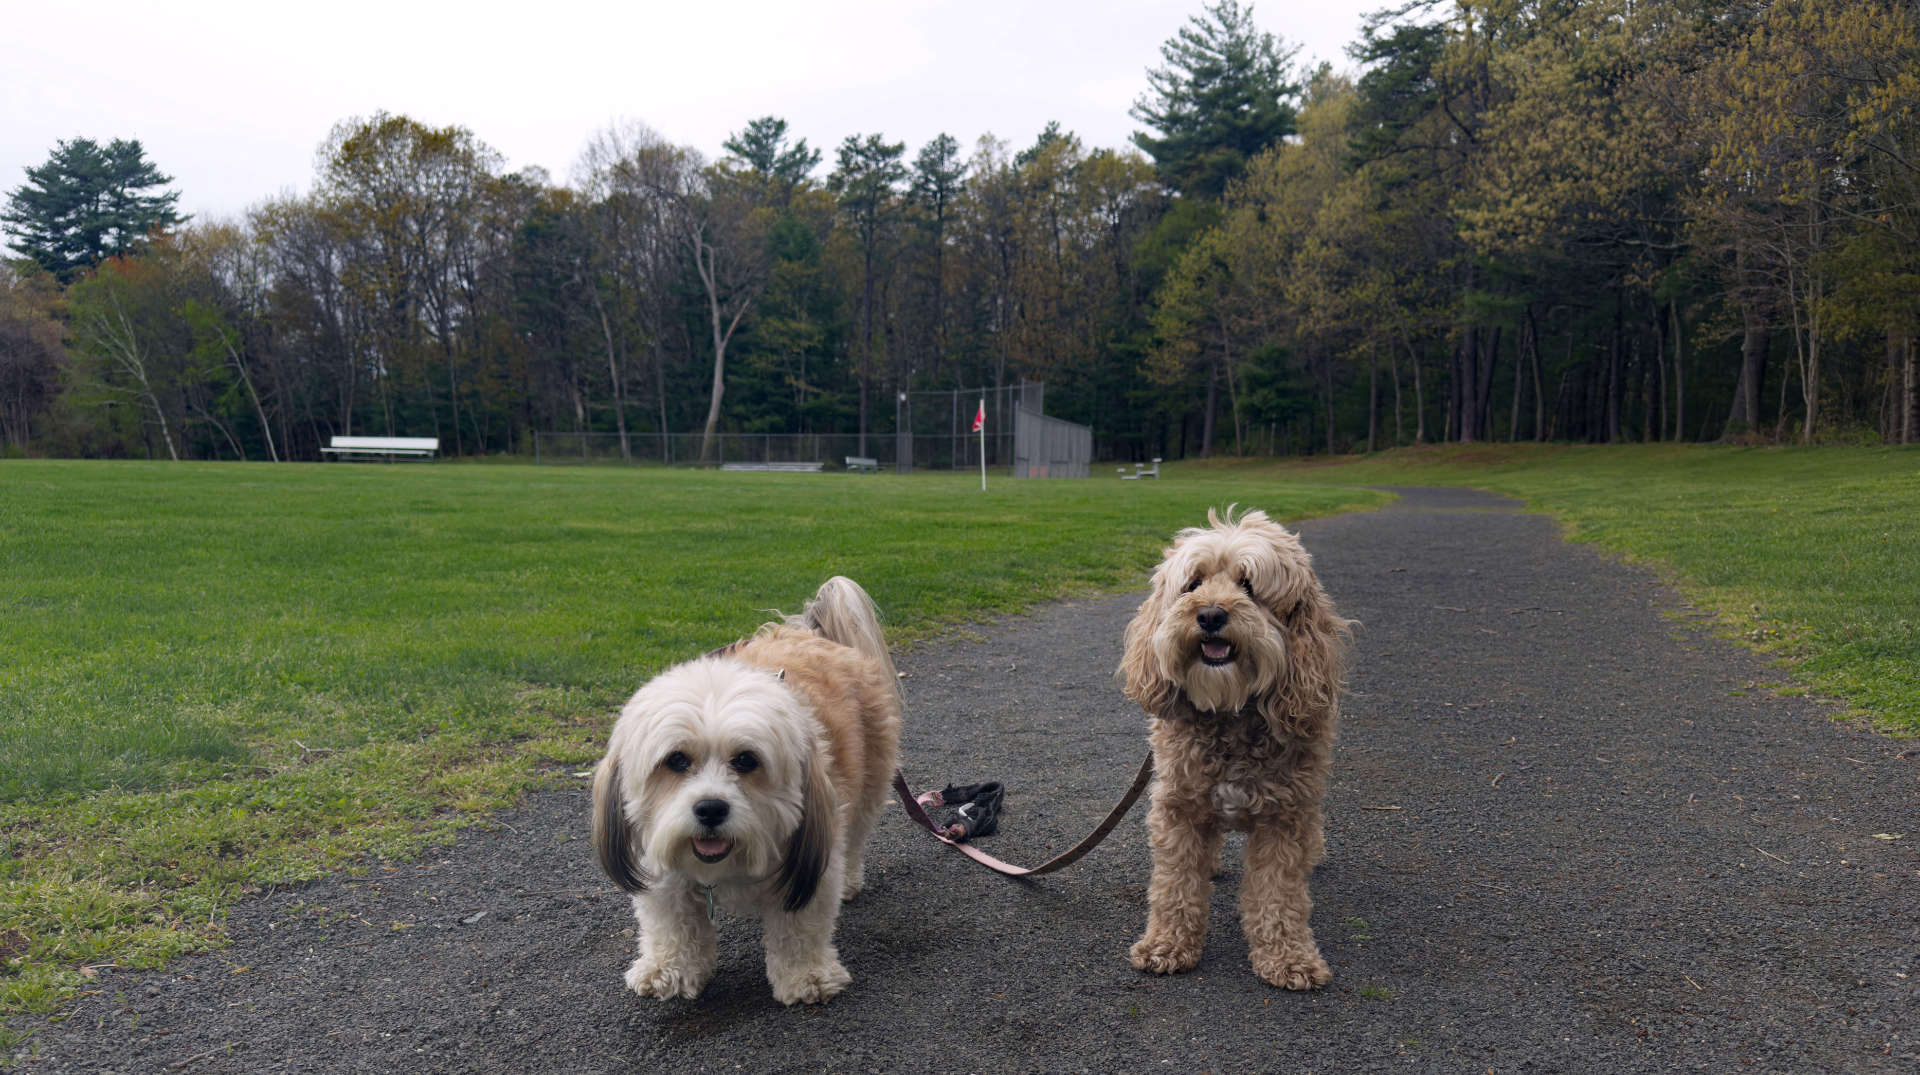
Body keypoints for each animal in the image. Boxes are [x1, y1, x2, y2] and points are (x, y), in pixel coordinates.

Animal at [587, 579, 902, 1005]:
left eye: (746, 760)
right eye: (676, 760)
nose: (710, 808)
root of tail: (809, 633)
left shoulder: (810, 861)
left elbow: (800, 929)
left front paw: (806, 976)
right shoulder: (662, 874)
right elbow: (672, 927)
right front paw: (668, 970)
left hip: (868, 784)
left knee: (855, 838)